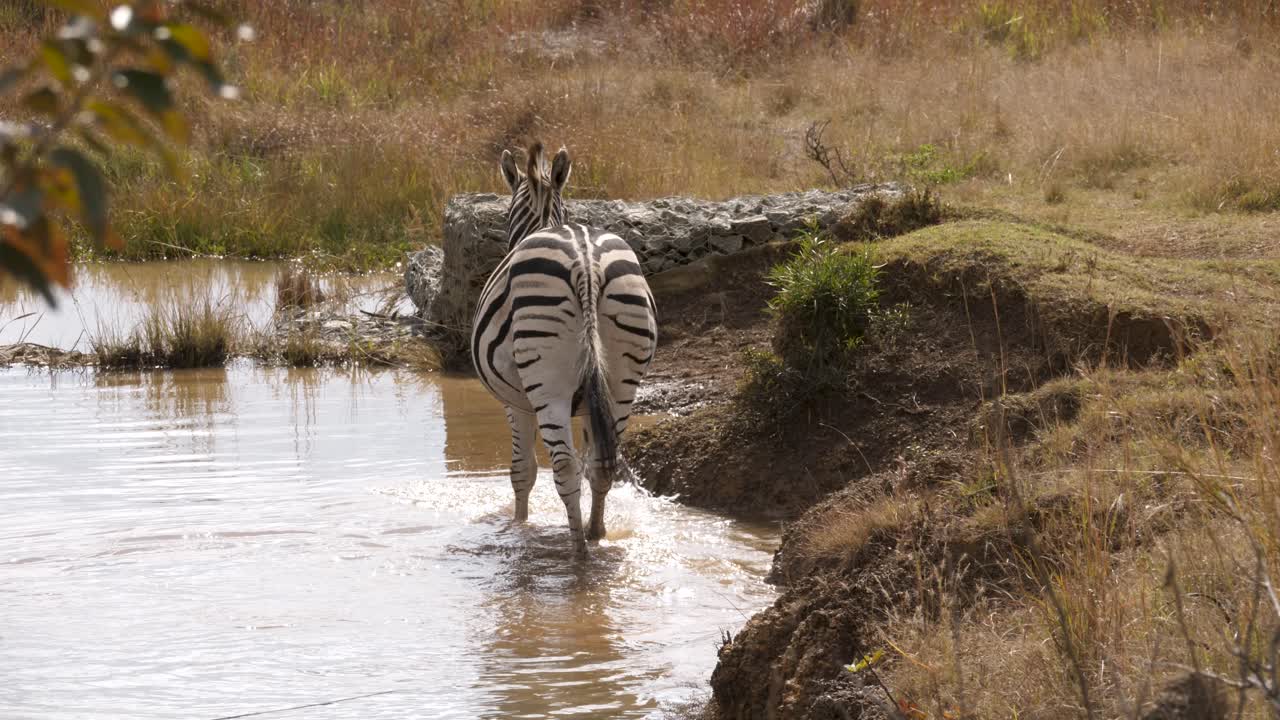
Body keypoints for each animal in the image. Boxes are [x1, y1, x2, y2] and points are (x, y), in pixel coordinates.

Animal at [470, 141, 658, 555]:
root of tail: (586, 262)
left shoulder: (515, 403)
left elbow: (521, 472)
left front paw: (519, 525)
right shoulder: (591, 402)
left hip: (547, 383)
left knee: (565, 468)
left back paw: (578, 550)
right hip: (622, 377)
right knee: (601, 464)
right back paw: (595, 534)